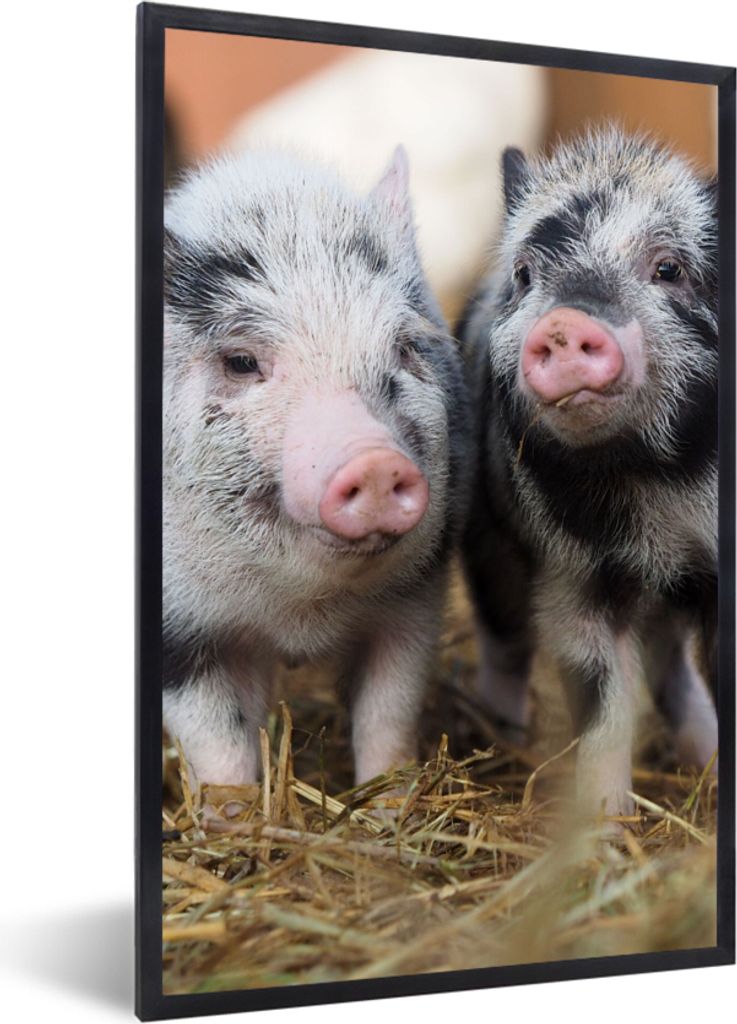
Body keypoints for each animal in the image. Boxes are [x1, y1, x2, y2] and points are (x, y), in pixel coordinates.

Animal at [162, 147, 471, 801]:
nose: (375, 461)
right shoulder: (178, 629)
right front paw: (234, 815)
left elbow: (388, 712)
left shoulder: (416, 596)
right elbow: (217, 742)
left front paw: (388, 803)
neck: (300, 612)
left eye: (405, 348)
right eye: (241, 361)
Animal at [459, 127, 718, 818]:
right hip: (488, 544)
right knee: (504, 642)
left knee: (671, 665)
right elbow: (603, 703)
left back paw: (703, 758)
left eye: (668, 268)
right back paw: (507, 736)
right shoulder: (573, 576)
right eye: (526, 273)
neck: (656, 483)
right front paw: (605, 821)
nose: (566, 321)